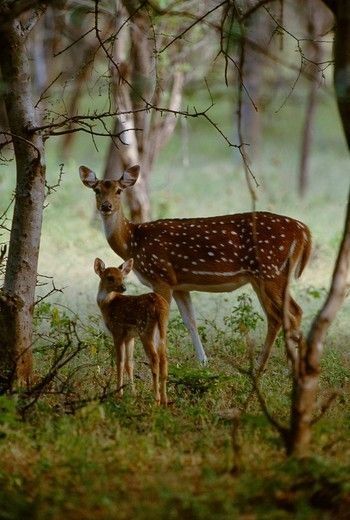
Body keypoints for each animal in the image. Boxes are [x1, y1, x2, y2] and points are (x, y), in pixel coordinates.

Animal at [81, 165, 312, 368]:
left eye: (119, 190)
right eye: (97, 190)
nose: (106, 206)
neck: (134, 242)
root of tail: (304, 231)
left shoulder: (161, 276)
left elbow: (163, 319)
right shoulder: (180, 285)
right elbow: (190, 321)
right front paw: (203, 362)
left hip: (271, 271)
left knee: (293, 313)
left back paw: (283, 369)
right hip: (261, 278)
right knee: (278, 316)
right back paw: (271, 367)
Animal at [94, 258, 168, 404]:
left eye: (122, 277)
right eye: (110, 277)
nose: (123, 288)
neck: (108, 304)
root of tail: (159, 306)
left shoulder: (117, 331)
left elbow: (120, 362)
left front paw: (119, 394)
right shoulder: (130, 337)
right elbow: (130, 364)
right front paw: (133, 394)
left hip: (145, 330)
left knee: (155, 358)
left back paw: (156, 399)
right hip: (161, 331)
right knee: (164, 358)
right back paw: (165, 400)